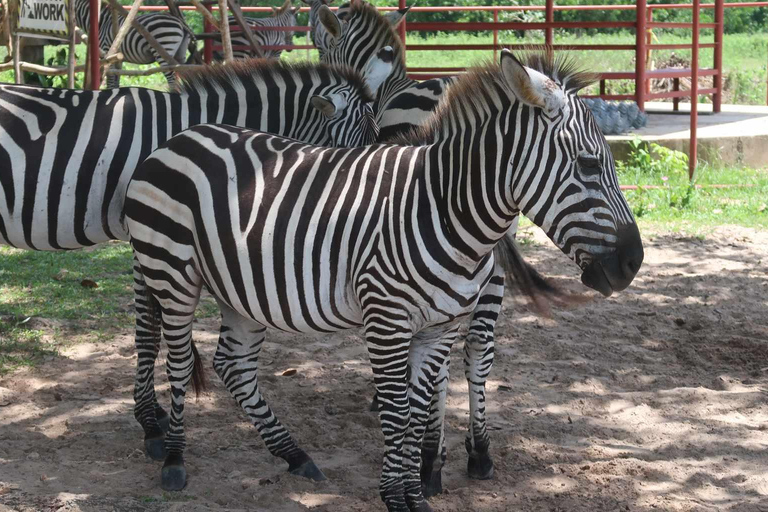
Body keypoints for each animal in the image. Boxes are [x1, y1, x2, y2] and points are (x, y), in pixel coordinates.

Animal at [124, 48, 640, 508]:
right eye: (590, 165)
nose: (633, 263)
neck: (444, 209)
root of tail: (179, 138)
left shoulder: (439, 327)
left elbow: (416, 408)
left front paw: (417, 491)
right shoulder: (387, 320)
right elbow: (396, 411)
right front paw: (397, 496)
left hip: (241, 291)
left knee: (234, 365)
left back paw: (295, 456)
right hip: (170, 271)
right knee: (177, 361)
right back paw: (174, 461)